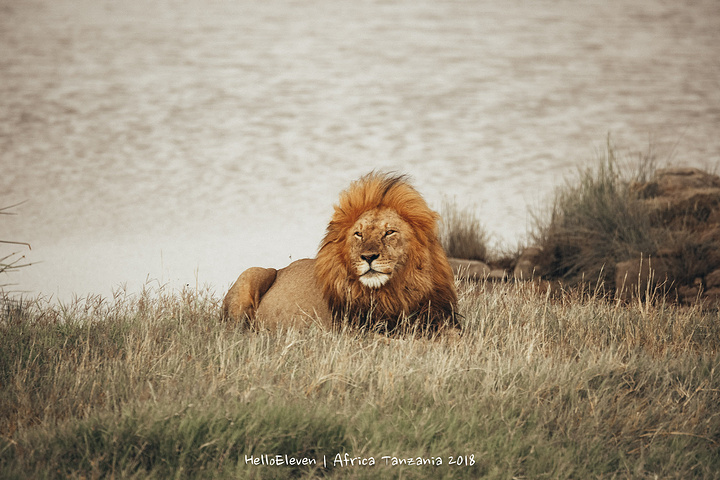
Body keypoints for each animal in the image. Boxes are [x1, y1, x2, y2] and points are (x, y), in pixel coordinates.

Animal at [222, 172, 458, 334]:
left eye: (389, 232)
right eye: (358, 234)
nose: (368, 257)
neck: (393, 293)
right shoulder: (356, 334)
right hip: (254, 273)